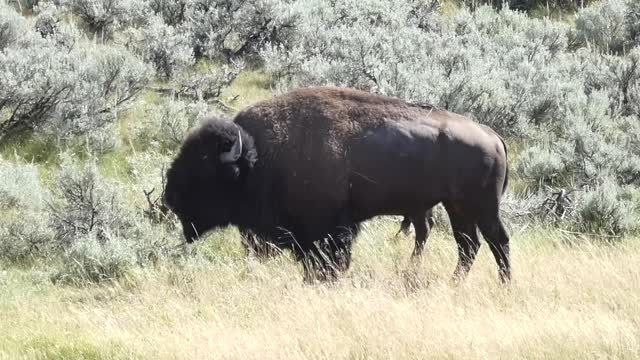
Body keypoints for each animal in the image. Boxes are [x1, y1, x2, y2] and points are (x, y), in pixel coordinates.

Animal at [164, 86, 510, 282]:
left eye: (204, 171)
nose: (170, 197)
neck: (260, 156)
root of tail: (491, 134)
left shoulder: (328, 229)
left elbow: (330, 261)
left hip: (481, 207)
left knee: (497, 241)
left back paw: (503, 285)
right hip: (457, 207)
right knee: (468, 245)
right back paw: (455, 284)